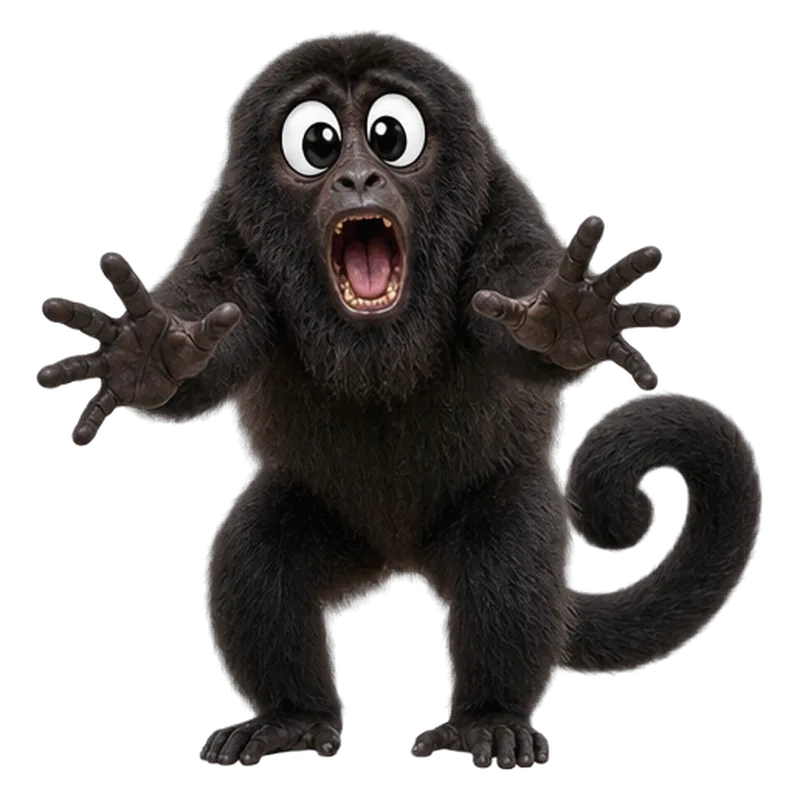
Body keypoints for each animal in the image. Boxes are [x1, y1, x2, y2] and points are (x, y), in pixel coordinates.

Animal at [36, 33, 761, 769]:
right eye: (317, 142)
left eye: (391, 136)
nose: (358, 179)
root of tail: (398, 550)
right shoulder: (231, 227)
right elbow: (200, 359)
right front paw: (147, 352)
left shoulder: (497, 202)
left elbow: (524, 325)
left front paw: (570, 318)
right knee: (255, 559)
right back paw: (291, 718)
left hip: (505, 498)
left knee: (507, 565)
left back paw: (489, 719)